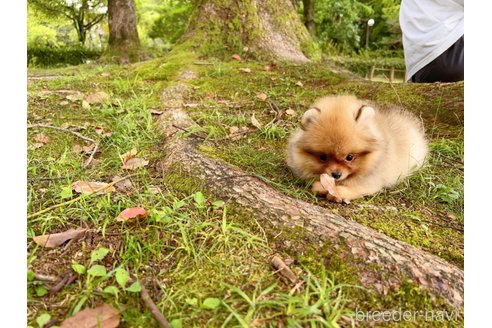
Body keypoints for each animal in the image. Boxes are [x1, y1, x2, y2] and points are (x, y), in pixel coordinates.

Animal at [286, 95, 428, 201]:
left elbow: (356, 187)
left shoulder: (372, 180)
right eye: (323, 157)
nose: (336, 174)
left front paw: (338, 192)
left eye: (349, 157)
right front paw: (323, 186)